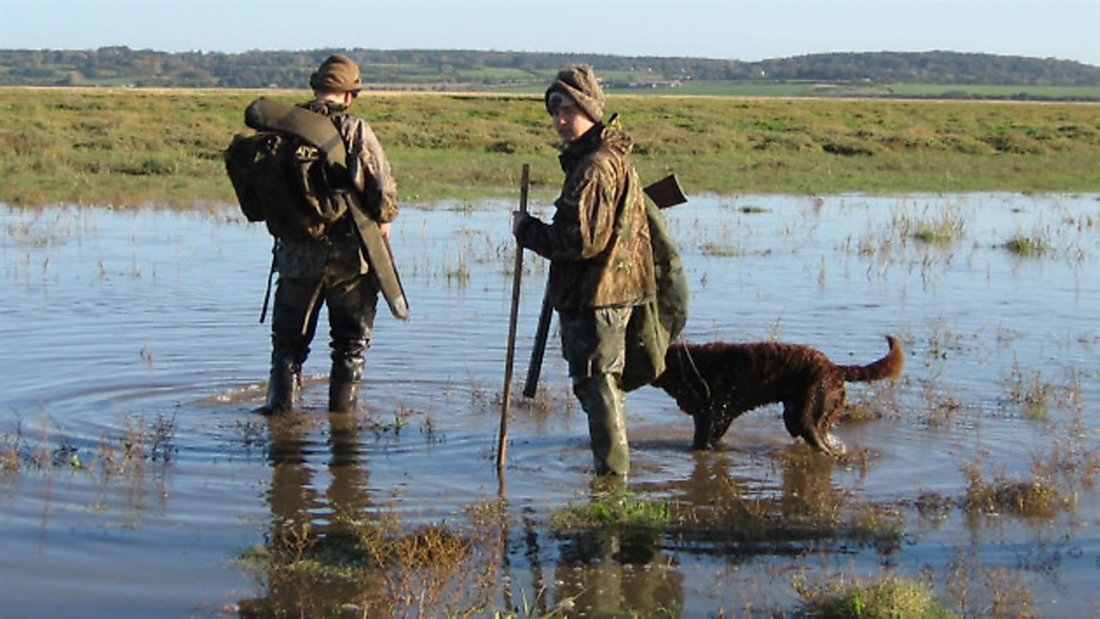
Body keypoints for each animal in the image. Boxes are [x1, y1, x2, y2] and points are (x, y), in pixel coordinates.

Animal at [651, 334, 902, 455]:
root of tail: (835, 368)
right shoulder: (720, 415)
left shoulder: (707, 412)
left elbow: (701, 440)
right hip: (797, 416)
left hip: (807, 415)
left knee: (822, 444)